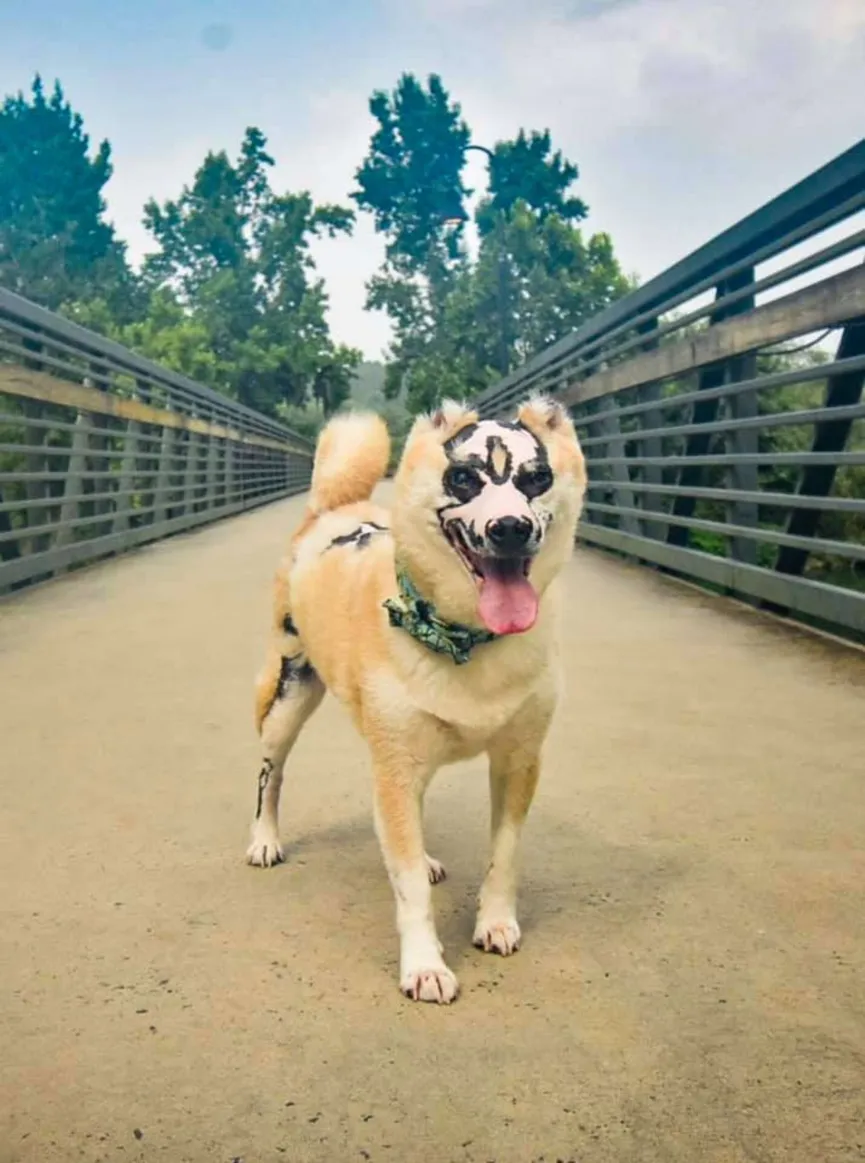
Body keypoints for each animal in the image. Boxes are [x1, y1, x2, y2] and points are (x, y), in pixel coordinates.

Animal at [242, 395, 588, 1004]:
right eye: (464, 478)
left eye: (537, 478)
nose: (510, 528)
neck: (467, 636)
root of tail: (333, 510)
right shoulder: (396, 769)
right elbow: (407, 888)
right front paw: (425, 965)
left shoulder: (518, 761)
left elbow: (503, 856)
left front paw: (495, 921)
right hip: (289, 695)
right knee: (271, 774)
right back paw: (265, 839)